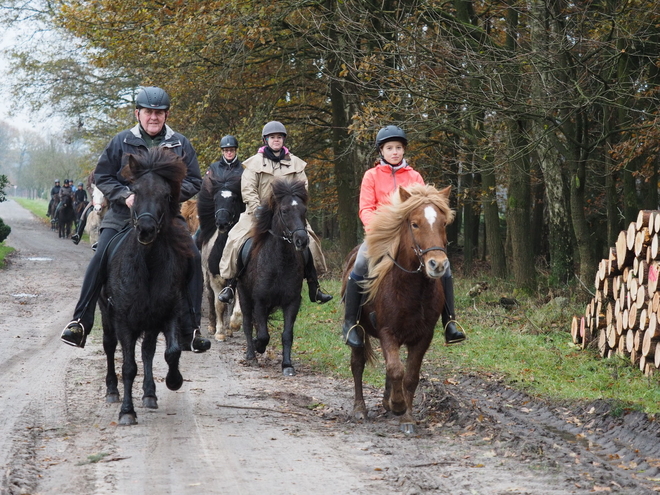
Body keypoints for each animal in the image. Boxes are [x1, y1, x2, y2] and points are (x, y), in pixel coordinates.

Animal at [99, 148, 191, 426]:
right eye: (135, 191)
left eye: (166, 195)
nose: (146, 230)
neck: (147, 265)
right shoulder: (123, 320)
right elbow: (129, 367)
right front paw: (127, 412)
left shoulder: (168, 313)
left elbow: (171, 352)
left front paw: (174, 380)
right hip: (107, 316)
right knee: (109, 347)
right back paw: (112, 390)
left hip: (150, 322)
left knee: (148, 352)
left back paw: (150, 394)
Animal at [200, 165, 246, 340]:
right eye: (215, 200)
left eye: (234, 199)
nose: (222, 223)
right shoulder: (215, 278)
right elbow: (218, 304)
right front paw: (219, 333)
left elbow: (237, 306)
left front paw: (233, 325)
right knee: (211, 298)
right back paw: (213, 326)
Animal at [237, 178, 310, 376]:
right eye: (284, 211)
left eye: (304, 210)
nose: (302, 240)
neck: (280, 263)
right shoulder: (260, 301)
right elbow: (263, 334)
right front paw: (257, 346)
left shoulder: (292, 302)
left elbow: (287, 335)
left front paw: (287, 365)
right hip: (243, 295)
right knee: (247, 323)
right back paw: (251, 355)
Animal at [342, 183, 456, 434]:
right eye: (414, 224)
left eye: (443, 223)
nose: (438, 265)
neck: (412, 289)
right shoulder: (387, 332)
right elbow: (396, 370)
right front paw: (398, 405)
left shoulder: (424, 336)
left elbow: (410, 376)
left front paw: (407, 417)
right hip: (360, 332)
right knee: (357, 365)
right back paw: (360, 409)